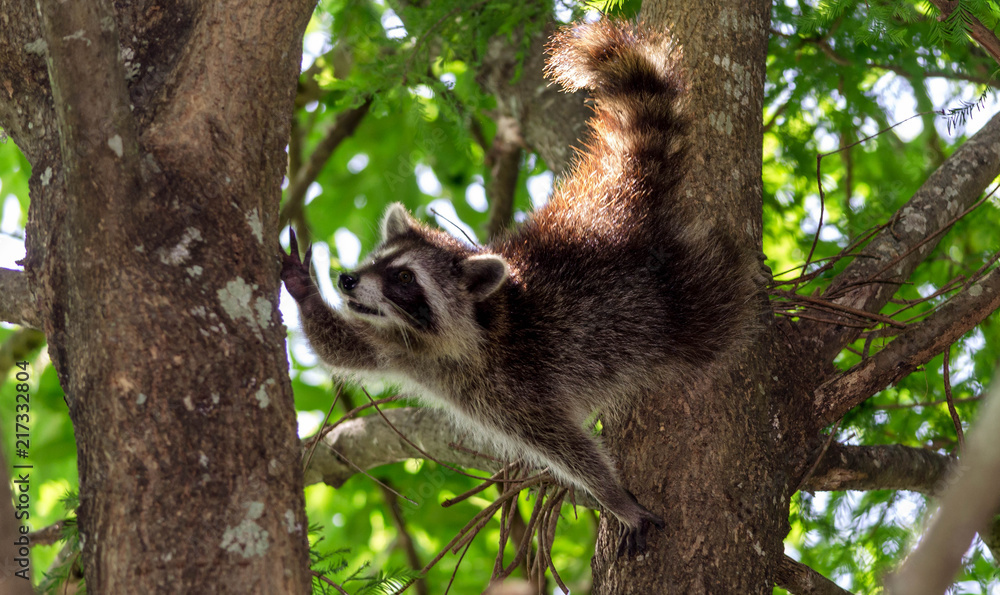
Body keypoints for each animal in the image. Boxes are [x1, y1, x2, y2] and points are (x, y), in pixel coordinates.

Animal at [281, 20, 757, 553]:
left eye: (404, 278)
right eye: (376, 261)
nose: (346, 279)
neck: (448, 343)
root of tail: (610, 211)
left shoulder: (518, 381)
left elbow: (564, 443)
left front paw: (614, 496)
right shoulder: (399, 349)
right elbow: (344, 348)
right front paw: (302, 287)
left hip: (665, 297)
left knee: (711, 314)